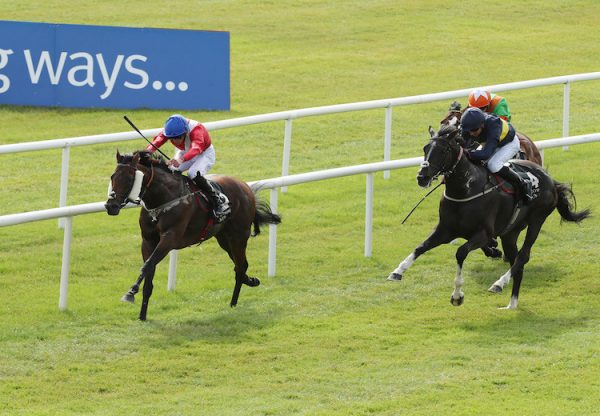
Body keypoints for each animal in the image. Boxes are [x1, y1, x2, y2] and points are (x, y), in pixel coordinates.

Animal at [103, 151, 282, 320]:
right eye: (112, 177)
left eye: (129, 179)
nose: (111, 206)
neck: (163, 199)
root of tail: (245, 187)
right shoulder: (148, 241)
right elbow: (148, 273)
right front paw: (142, 316)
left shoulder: (170, 238)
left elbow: (147, 265)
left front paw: (130, 293)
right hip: (224, 239)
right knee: (241, 266)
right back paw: (246, 285)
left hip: (238, 236)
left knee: (240, 267)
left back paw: (236, 299)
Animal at [386, 123, 588, 308]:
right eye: (425, 148)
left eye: (443, 150)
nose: (422, 177)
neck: (466, 189)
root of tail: (551, 180)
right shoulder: (446, 230)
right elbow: (420, 247)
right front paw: (397, 271)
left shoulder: (484, 233)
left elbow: (460, 252)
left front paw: (457, 295)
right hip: (510, 232)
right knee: (516, 261)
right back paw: (511, 303)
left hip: (536, 220)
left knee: (523, 257)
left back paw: (499, 284)